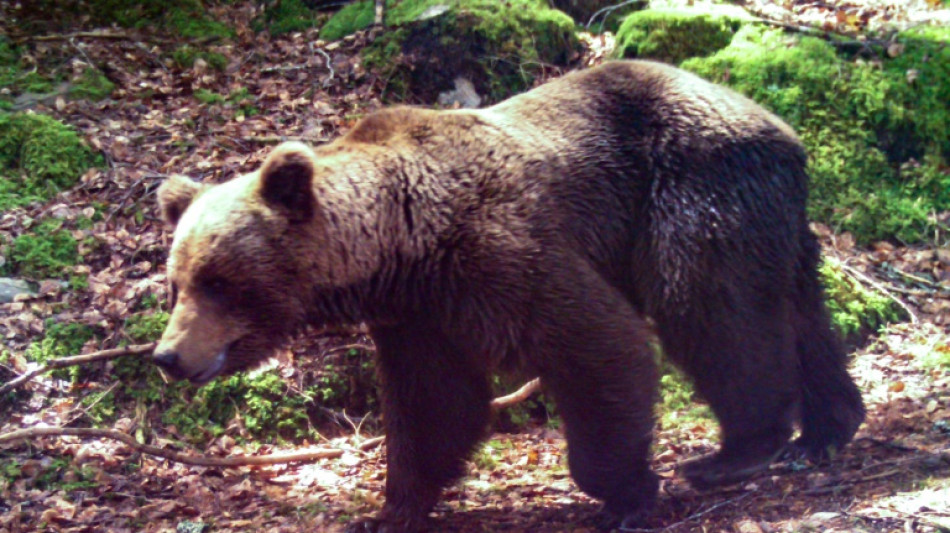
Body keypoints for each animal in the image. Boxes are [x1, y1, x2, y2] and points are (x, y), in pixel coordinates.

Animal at [153, 60, 865, 531]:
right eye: (177, 282)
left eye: (218, 281)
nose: (167, 356)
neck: (402, 245)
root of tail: (781, 127)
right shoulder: (419, 317)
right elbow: (434, 406)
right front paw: (389, 509)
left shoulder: (501, 252)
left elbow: (602, 344)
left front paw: (629, 493)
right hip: (767, 218)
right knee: (799, 312)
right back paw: (828, 428)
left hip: (691, 189)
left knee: (710, 308)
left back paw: (735, 451)